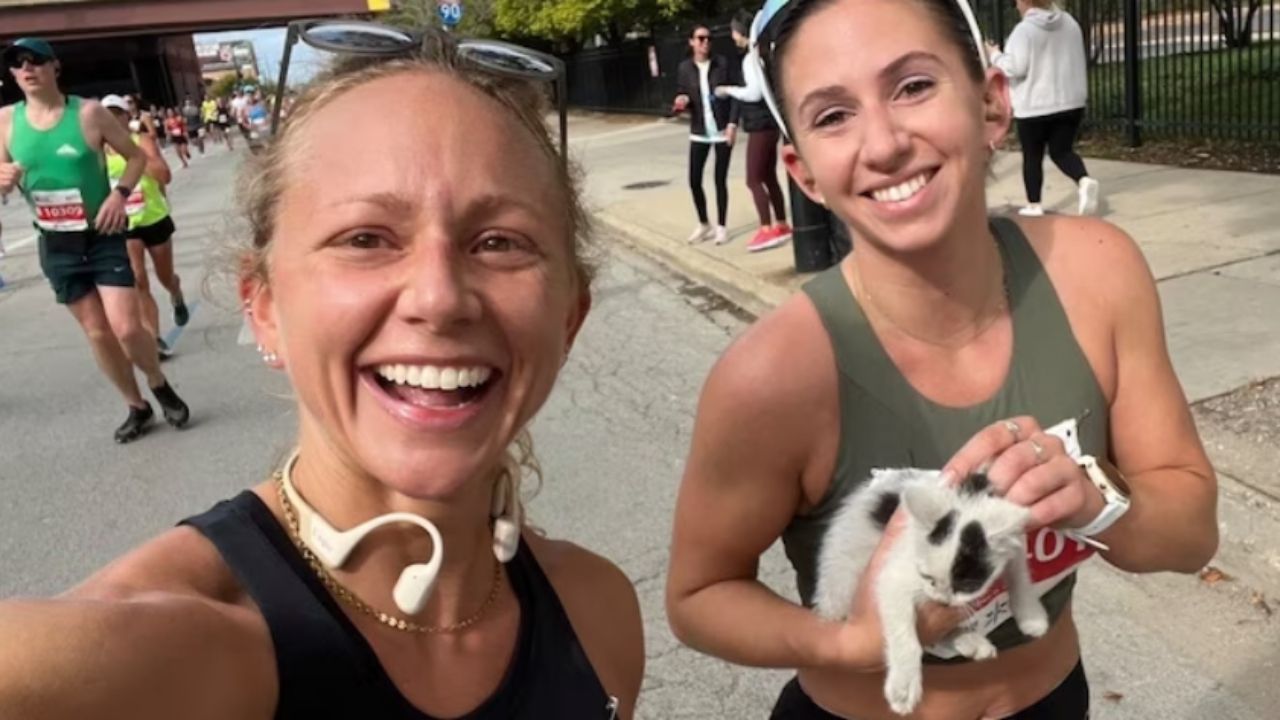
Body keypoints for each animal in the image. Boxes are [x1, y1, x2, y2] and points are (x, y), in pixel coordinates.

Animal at [814, 466, 1044, 712]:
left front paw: (1032, 617)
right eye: (927, 577)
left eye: (967, 584)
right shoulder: (892, 575)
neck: (965, 499)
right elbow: (904, 632)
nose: (943, 601)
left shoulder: (1012, 543)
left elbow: (1019, 571)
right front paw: (903, 687)